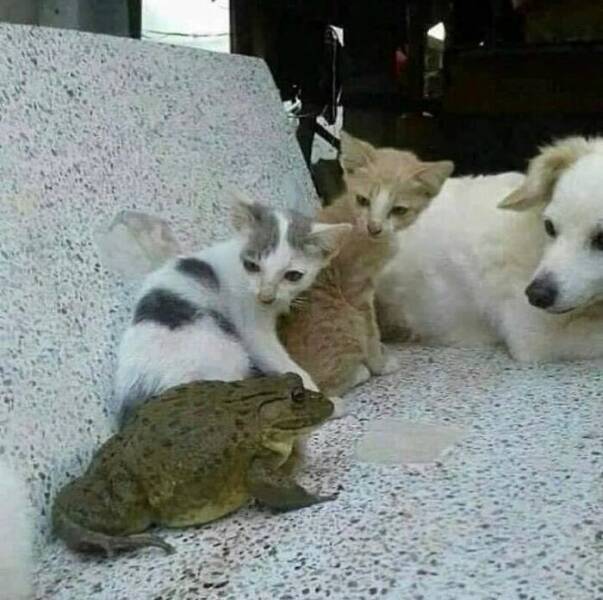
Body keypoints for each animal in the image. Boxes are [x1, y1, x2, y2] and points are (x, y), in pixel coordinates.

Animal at [114, 190, 351, 419]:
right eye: (252, 266)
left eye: (293, 276)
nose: (266, 296)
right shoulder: (252, 328)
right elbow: (279, 361)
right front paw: (326, 404)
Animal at [279, 132, 454, 396]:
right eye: (363, 200)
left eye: (398, 210)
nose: (374, 227)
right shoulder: (355, 289)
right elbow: (370, 330)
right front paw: (379, 363)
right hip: (342, 320)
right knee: (326, 386)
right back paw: (359, 372)